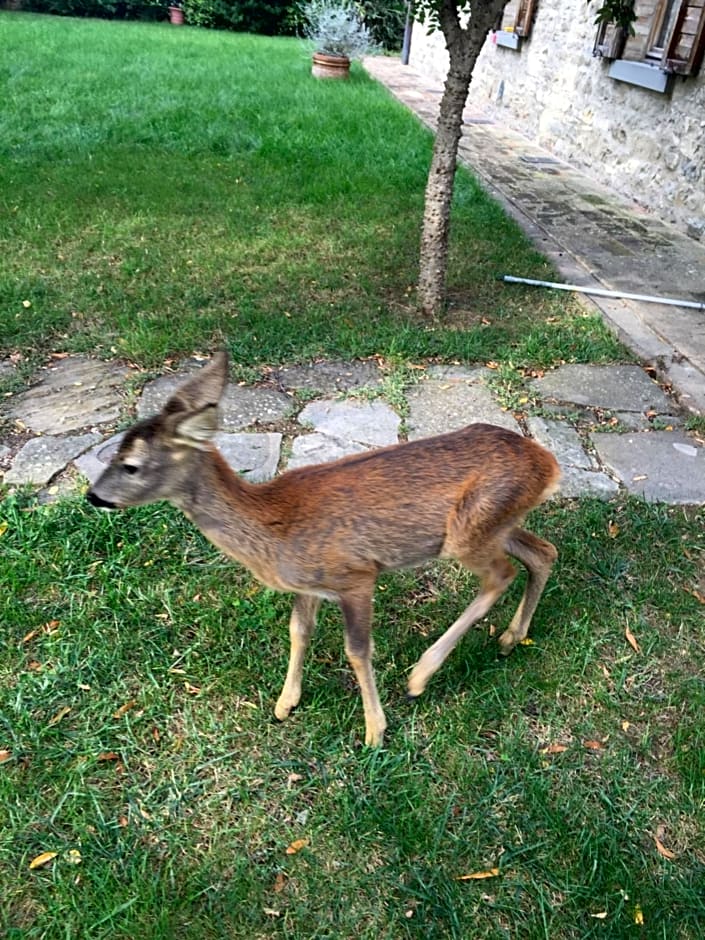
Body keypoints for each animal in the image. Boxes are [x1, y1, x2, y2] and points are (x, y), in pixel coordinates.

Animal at [88, 352, 560, 748]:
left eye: (131, 466)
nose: (93, 496)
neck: (272, 527)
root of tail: (548, 464)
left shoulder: (355, 574)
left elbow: (357, 650)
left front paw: (374, 731)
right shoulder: (307, 585)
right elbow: (299, 631)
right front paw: (285, 703)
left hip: (468, 531)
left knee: (501, 574)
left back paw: (420, 676)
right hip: (497, 524)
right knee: (543, 552)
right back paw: (510, 638)